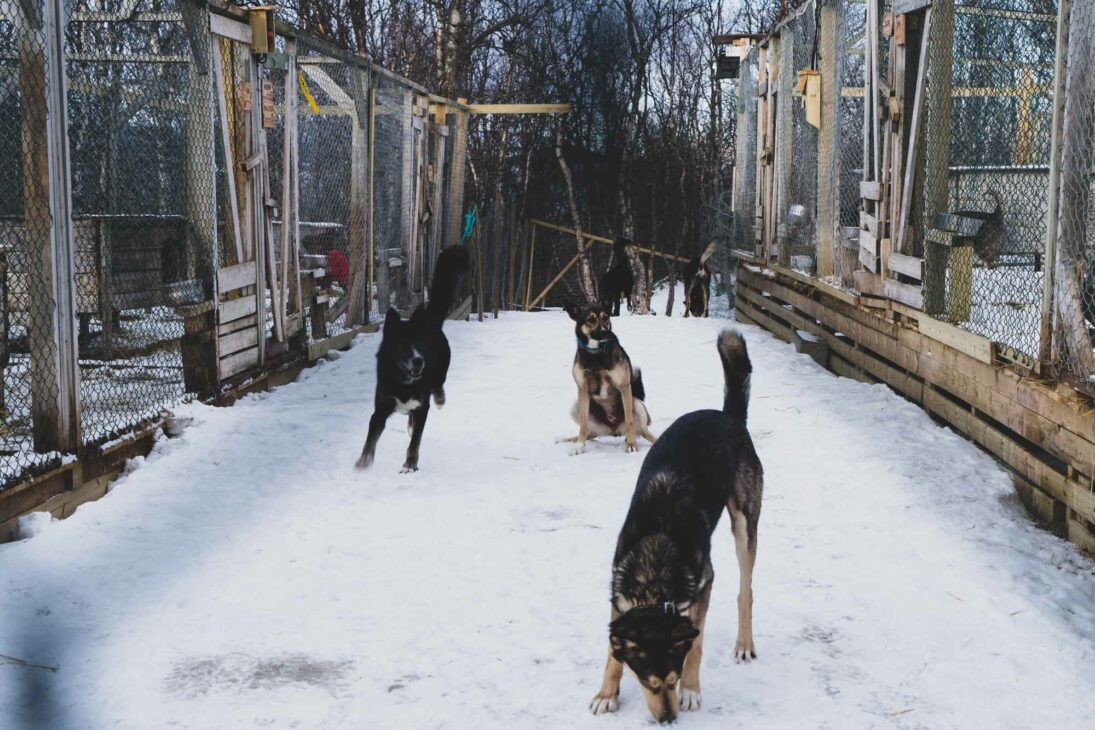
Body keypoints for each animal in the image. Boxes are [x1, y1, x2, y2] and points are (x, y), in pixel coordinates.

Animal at [354, 245, 466, 474]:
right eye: (403, 345)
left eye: (421, 345)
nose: (419, 361)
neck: (403, 382)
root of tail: (430, 321)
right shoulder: (380, 409)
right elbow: (371, 435)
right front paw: (364, 460)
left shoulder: (422, 408)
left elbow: (415, 440)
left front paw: (410, 464)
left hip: (442, 367)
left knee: (438, 385)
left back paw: (439, 400)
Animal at [565, 302, 657, 450]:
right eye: (590, 319)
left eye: (606, 317)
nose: (605, 332)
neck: (596, 355)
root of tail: (613, 430)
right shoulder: (582, 389)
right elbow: (583, 425)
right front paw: (579, 445)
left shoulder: (624, 387)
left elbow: (630, 421)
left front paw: (631, 444)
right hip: (576, 407)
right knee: (590, 432)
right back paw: (570, 439)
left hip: (637, 405)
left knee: (642, 431)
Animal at [591, 330, 762, 726]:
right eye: (649, 683)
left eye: (672, 678)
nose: (668, 720)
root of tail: (728, 417)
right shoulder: (617, 595)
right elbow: (612, 652)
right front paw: (607, 693)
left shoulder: (705, 582)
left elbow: (695, 643)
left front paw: (692, 690)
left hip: (745, 524)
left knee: (745, 590)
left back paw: (744, 643)